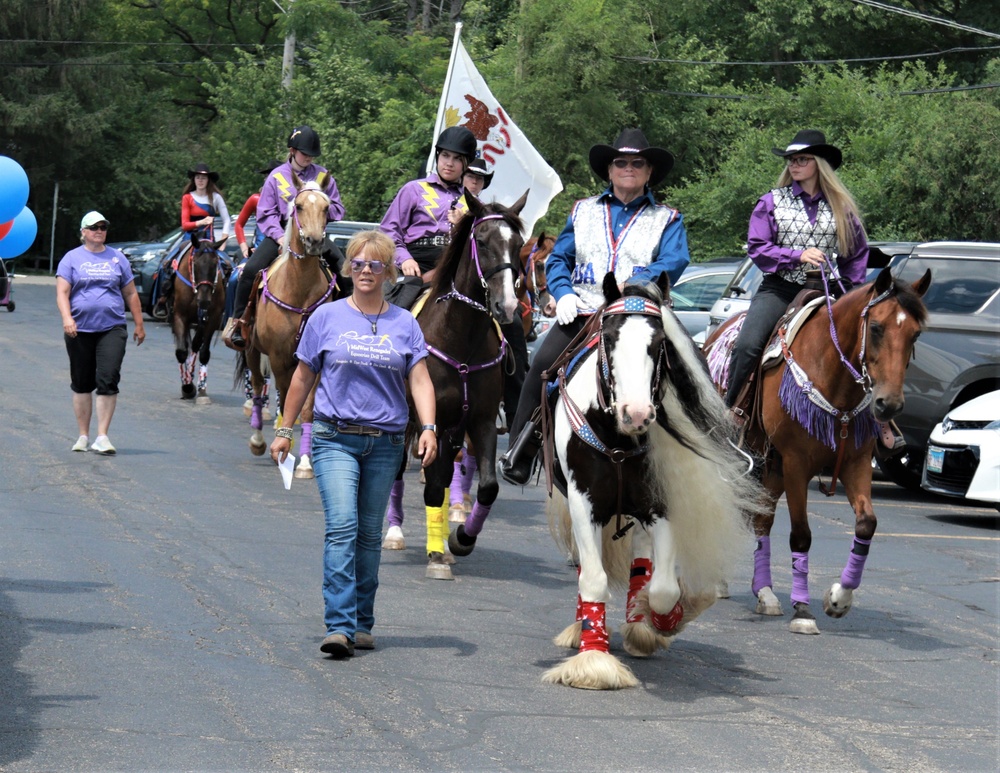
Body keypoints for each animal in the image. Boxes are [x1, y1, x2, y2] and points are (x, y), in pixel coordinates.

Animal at [172, 232, 227, 404]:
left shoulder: (213, 318)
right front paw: (187, 386)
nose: (204, 300)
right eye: (195, 263)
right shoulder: (179, 315)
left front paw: (201, 389)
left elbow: (203, 352)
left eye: (215, 264)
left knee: (196, 345)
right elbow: (181, 351)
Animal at [233, 179, 336, 476]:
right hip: (252, 351)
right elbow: (285, 394)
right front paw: (282, 445)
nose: (314, 241)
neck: (299, 290)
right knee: (258, 388)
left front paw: (305, 463)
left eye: (327, 207)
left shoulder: (312, 359)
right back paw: (258, 441)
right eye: (298, 206)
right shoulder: (278, 356)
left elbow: (307, 407)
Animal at [392, 191, 528, 580]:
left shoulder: (480, 422)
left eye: (519, 244)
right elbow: (433, 485)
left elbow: (487, 487)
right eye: (481, 241)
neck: (459, 338)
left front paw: (460, 540)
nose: (506, 305)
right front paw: (437, 556)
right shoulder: (431, 422)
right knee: (397, 474)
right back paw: (394, 533)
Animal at [544, 274, 752, 692]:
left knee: (641, 563)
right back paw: (581, 629)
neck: (618, 438)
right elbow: (593, 578)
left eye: (659, 345)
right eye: (608, 338)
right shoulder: (583, 502)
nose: (637, 414)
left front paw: (661, 621)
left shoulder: (659, 504)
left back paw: (639, 625)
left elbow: (663, 589)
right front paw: (594, 662)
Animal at [704, 268, 928, 636]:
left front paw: (838, 599)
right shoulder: (796, 464)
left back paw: (765, 594)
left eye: (916, 333)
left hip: (772, 467)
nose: (889, 404)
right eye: (876, 327)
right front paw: (803, 610)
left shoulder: (855, 463)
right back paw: (717, 582)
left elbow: (866, 524)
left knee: (763, 520)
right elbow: (801, 536)